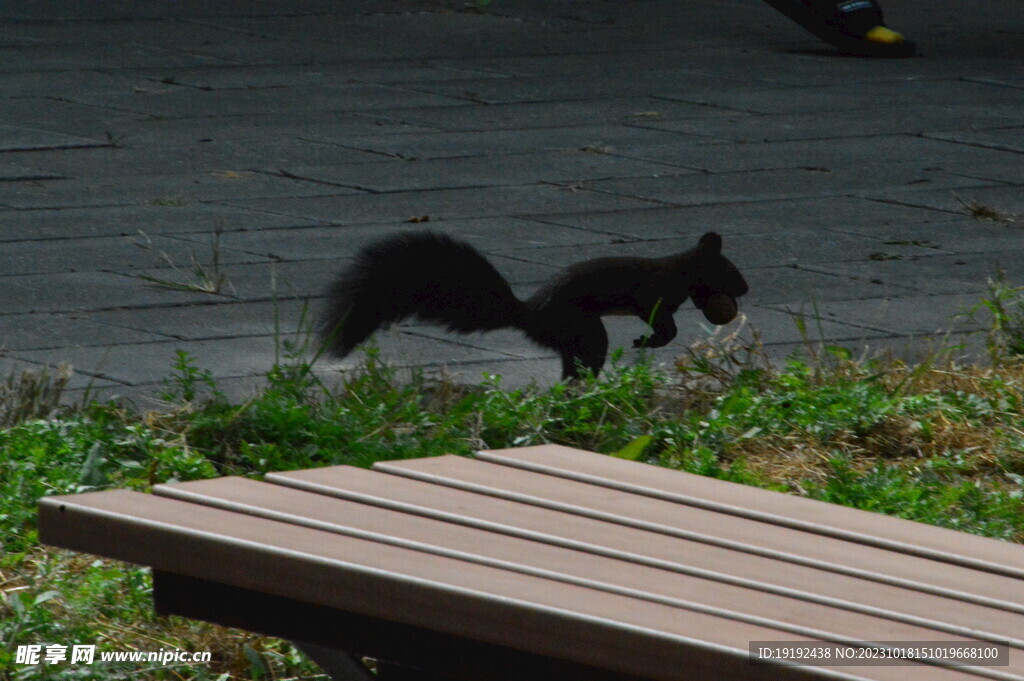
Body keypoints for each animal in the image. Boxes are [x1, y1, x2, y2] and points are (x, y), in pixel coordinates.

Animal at [315, 228, 749, 376]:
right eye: (730, 269)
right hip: (583, 327)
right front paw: (647, 341)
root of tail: (530, 316)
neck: (683, 269)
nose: (745, 290)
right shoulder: (654, 296)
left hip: (572, 338)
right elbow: (663, 325)